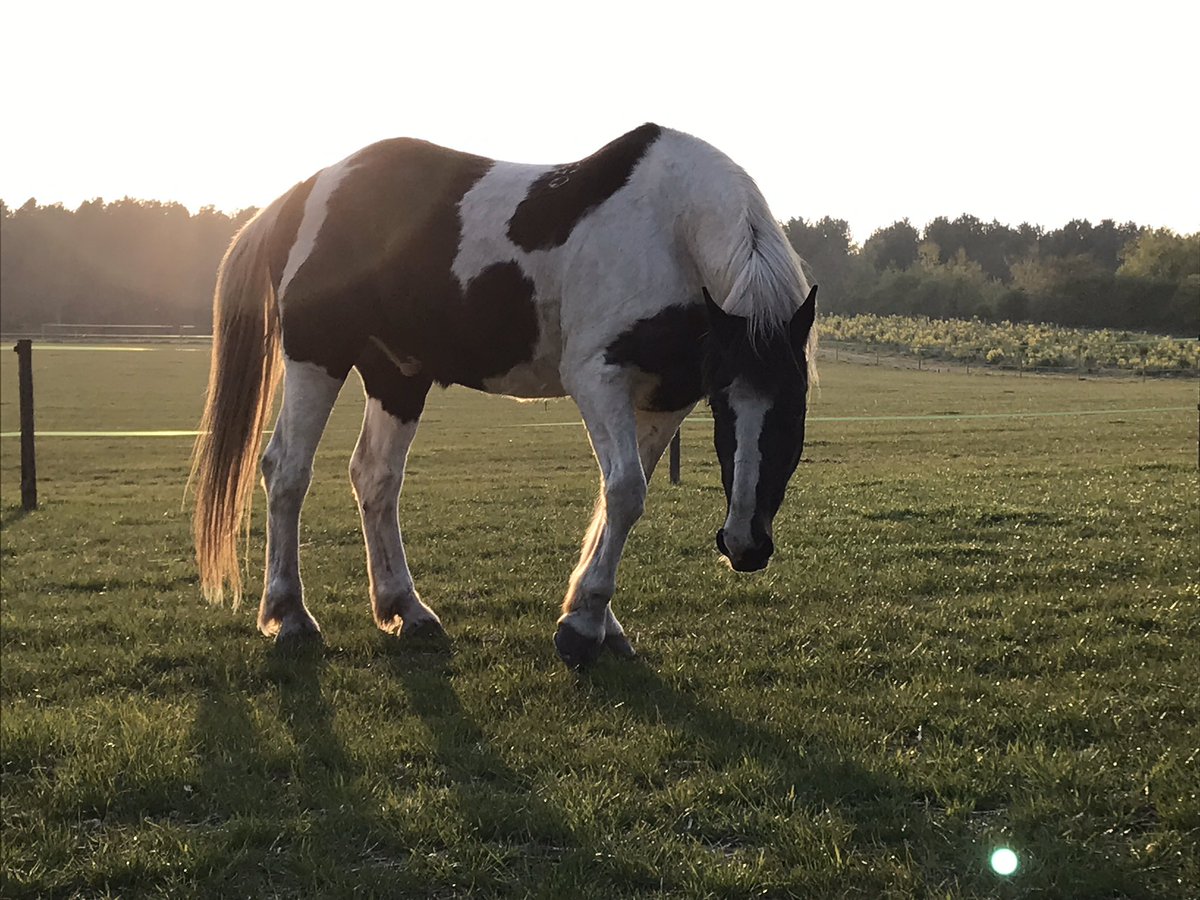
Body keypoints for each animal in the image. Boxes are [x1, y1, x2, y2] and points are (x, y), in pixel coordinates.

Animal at [190, 123, 817, 668]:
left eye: (794, 413)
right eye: (727, 411)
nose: (745, 545)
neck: (672, 228)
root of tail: (306, 191)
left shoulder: (664, 400)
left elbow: (615, 498)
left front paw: (597, 619)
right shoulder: (598, 378)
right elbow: (625, 493)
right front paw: (581, 627)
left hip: (398, 376)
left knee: (374, 477)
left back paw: (405, 608)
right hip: (317, 356)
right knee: (286, 470)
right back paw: (289, 615)